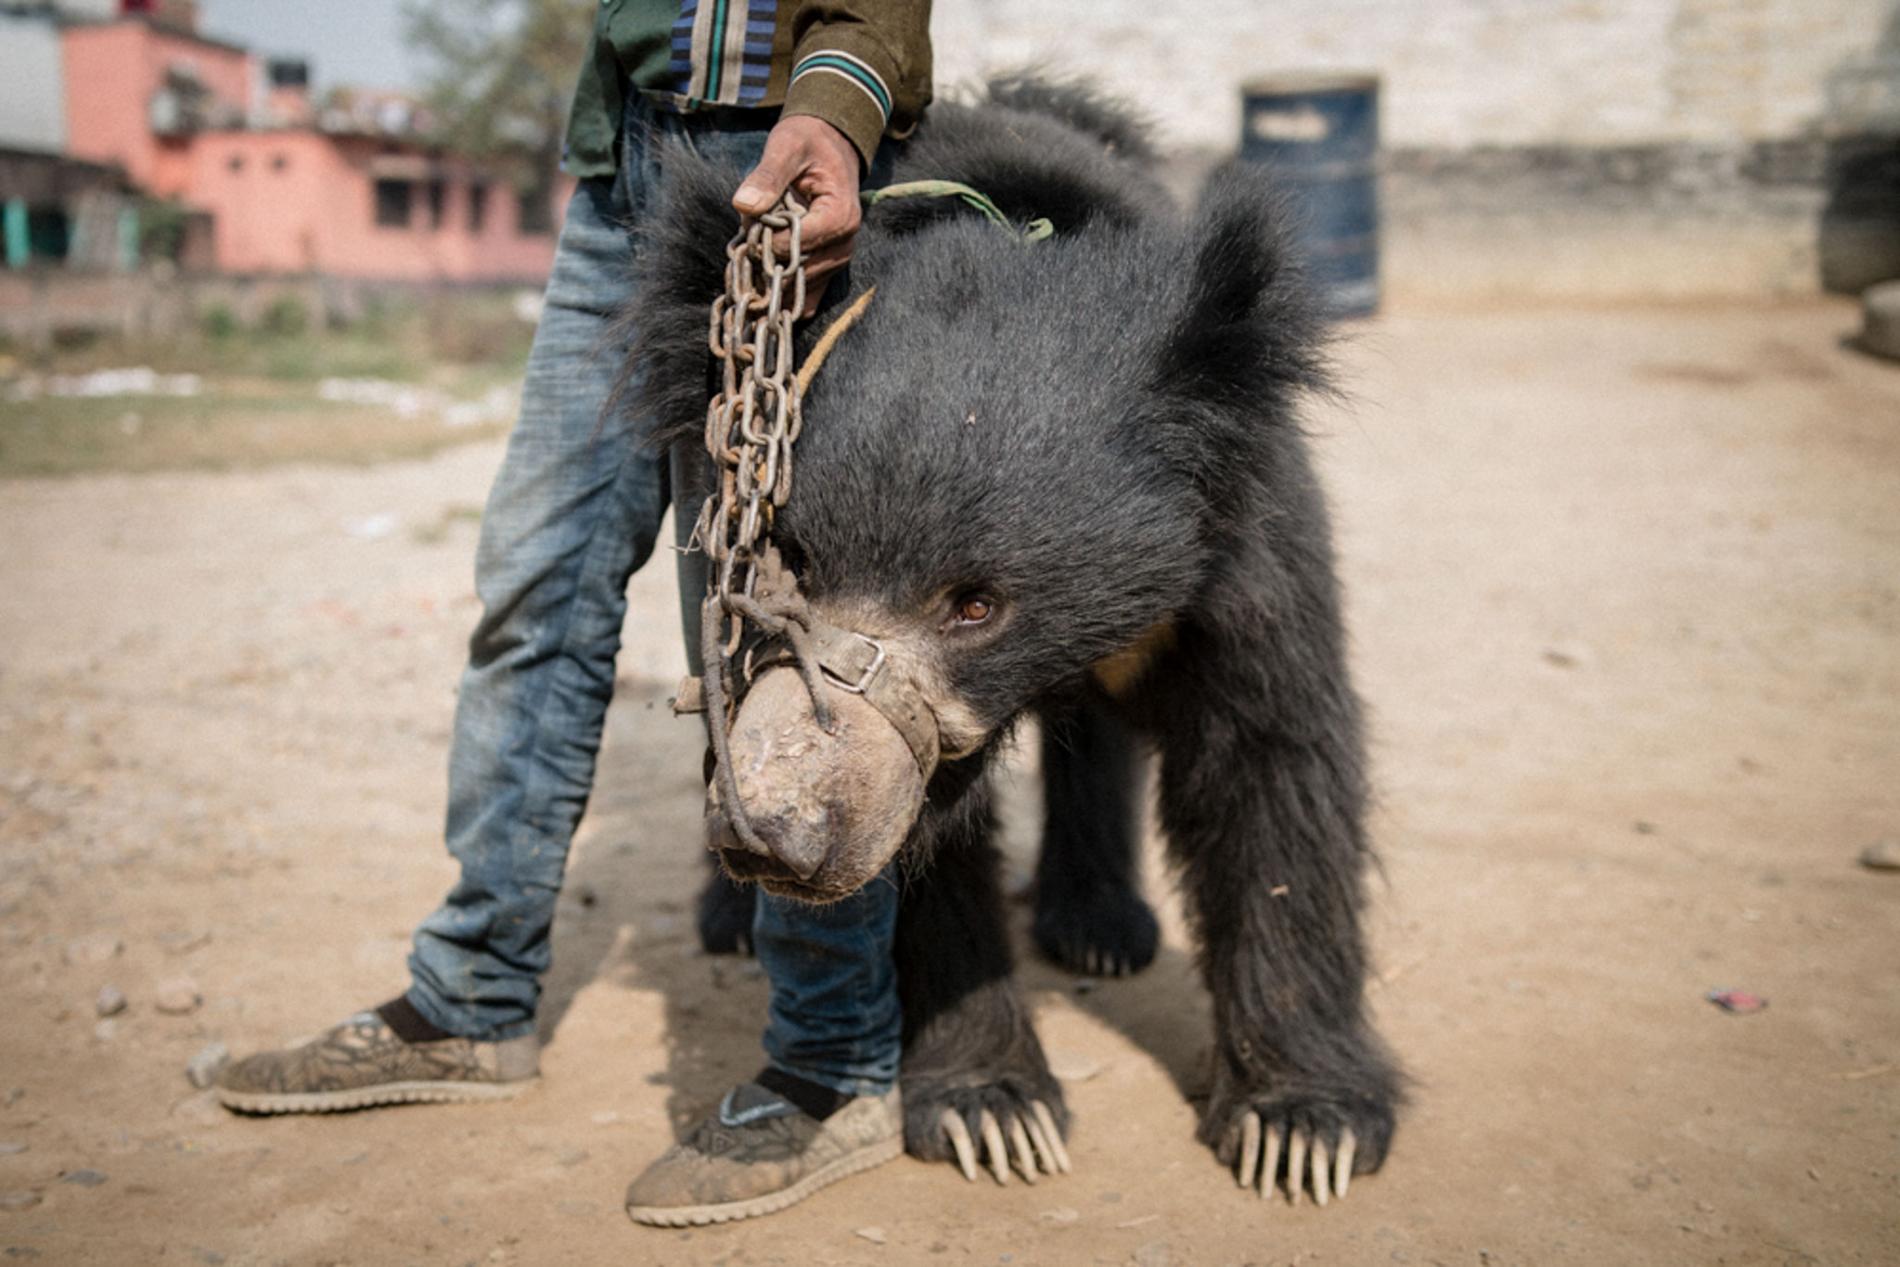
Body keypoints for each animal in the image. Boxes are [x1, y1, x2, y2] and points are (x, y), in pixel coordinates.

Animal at [632, 75, 1403, 1204]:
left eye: (976, 605)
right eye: (793, 563)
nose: (777, 835)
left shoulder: (1239, 546)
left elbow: (1271, 762)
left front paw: (1302, 1130)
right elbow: (922, 848)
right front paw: (995, 1113)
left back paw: (1100, 925)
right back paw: (728, 919)